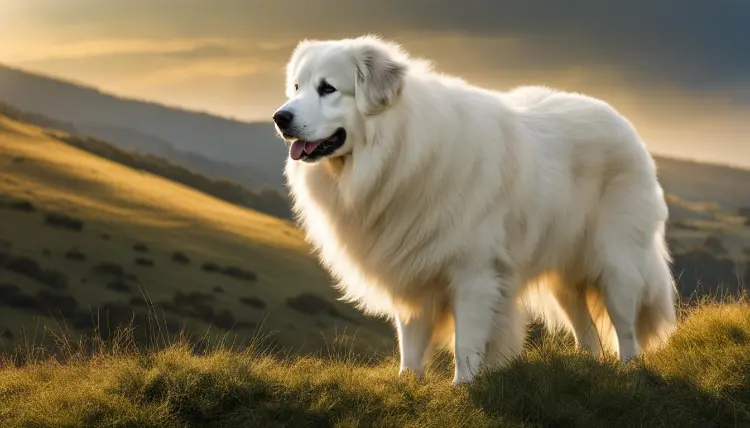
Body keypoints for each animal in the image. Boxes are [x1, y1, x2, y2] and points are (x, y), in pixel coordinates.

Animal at [274, 35, 680, 386]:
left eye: (328, 88)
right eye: (296, 87)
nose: (281, 117)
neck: (400, 149)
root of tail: (625, 125)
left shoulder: (475, 275)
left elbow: (466, 342)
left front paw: (464, 386)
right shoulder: (413, 270)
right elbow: (411, 339)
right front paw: (408, 382)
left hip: (617, 267)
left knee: (625, 328)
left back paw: (628, 370)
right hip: (563, 278)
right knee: (587, 331)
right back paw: (588, 368)